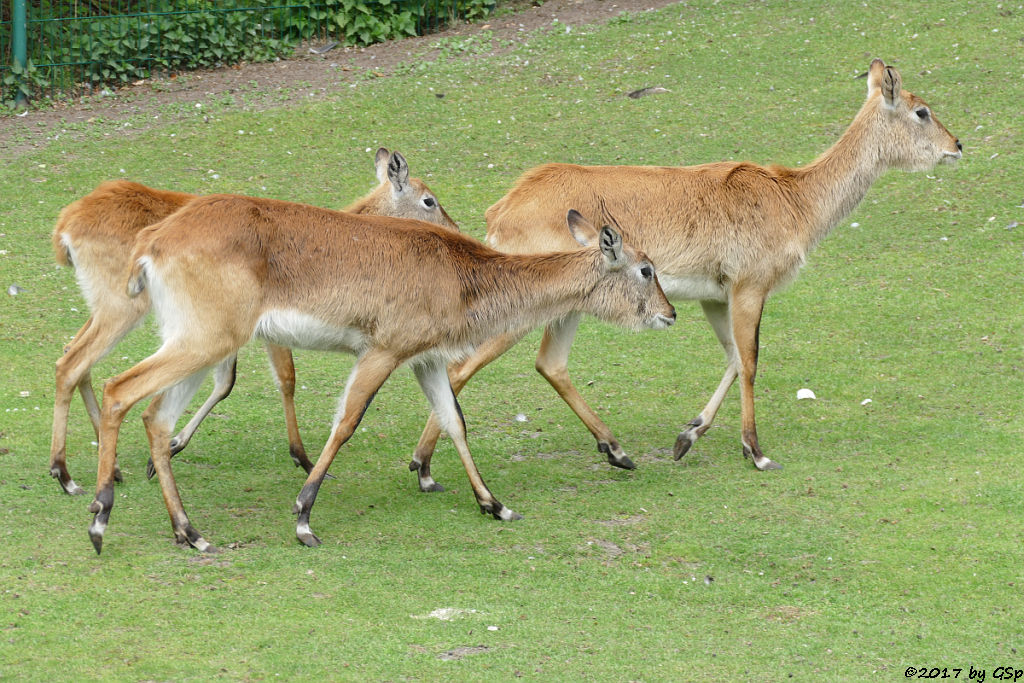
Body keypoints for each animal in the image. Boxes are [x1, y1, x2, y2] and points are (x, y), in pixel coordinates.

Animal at [44, 147, 452, 493]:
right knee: (74, 362)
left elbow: (226, 382)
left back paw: (107, 466)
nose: (453, 227)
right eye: (428, 199)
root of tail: (65, 223)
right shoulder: (262, 331)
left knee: (71, 354)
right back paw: (65, 474)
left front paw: (170, 446)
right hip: (124, 310)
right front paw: (304, 460)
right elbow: (284, 379)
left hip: (110, 310)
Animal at [86, 198, 671, 557]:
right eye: (646, 269)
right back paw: (98, 518)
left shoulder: (425, 359)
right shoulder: (382, 351)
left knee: (156, 418)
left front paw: (494, 504)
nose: (669, 315)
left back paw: (190, 533)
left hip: (202, 344)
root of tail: (153, 239)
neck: (463, 276)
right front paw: (303, 519)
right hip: (205, 340)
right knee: (118, 390)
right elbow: (346, 422)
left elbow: (455, 421)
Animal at [405, 57, 958, 481]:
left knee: (548, 363)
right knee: (463, 366)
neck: (795, 199)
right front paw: (757, 453)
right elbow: (751, 360)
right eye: (922, 110)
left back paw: (616, 451)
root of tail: (501, 211)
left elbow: (733, 358)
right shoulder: (750, 286)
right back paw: (425, 465)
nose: (957, 146)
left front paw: (686, 437)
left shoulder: (716, 294)